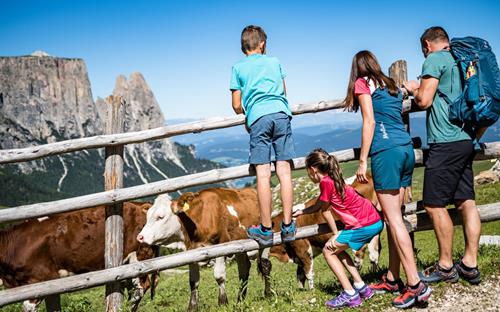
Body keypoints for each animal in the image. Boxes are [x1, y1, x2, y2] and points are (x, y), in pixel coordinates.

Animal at [135, 188, 264, 312]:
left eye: (160, 217)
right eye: (147, 217)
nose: (140, 237)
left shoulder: (221, 246)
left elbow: (219, 276)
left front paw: (223, 303)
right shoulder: (192, 252)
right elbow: (193, 281)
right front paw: (192, 307)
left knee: (264, 265)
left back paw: (266, 294)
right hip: (240, 246)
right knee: (244, 268)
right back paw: (240, 301)